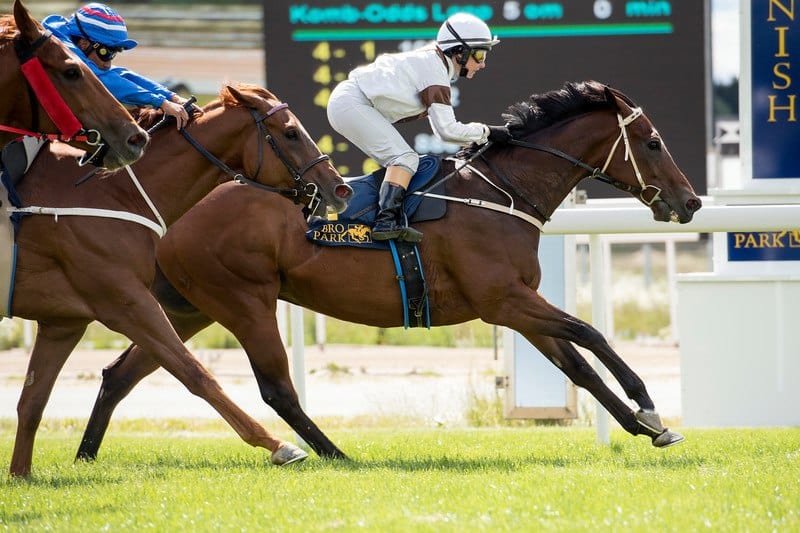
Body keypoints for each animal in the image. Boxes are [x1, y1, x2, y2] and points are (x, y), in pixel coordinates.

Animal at [4, 84, 352, 478]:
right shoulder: (123, 301)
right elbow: (194, 372)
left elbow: (33, 399)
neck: (112, 194)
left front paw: (20, 475)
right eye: (291, 132)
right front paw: (279, 445)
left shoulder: (65, 320)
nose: (339, 188)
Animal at [76, 80, 700, 462]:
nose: (690, 202)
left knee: (121, 374)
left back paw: (83, 457)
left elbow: (579, 366)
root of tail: (173, 211)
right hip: (243, 301)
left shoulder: (518, 306)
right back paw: (334, 455)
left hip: (190, 308)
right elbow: (592, 334)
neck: (501, 193)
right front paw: (648, 405)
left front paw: (647, 427)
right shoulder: (502, 299)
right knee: (276, 388)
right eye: (652, 142)